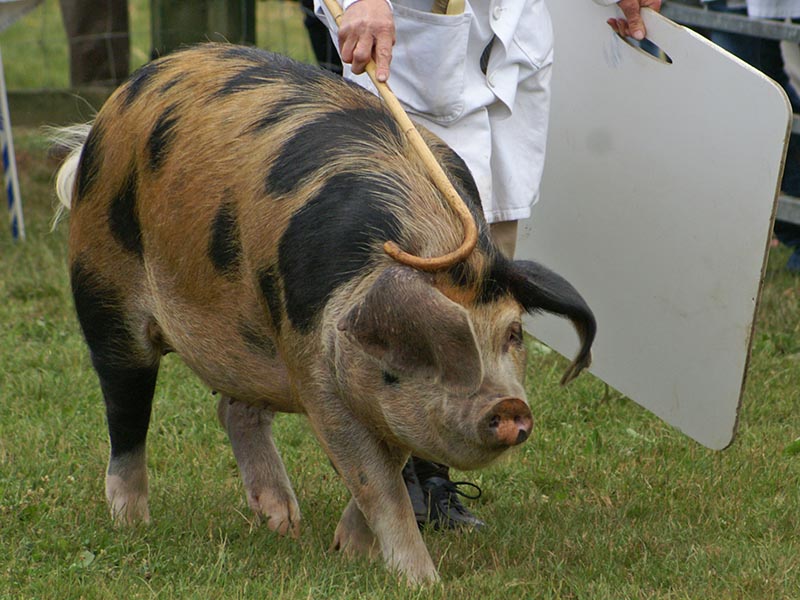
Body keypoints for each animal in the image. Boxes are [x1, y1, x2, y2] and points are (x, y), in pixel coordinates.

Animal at [54, 43, 592, 584]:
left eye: (514, 333)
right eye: (433, 344)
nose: (511, 406)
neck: (433, 245)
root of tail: (118, 102)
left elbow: (390, 459)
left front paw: (348, 551)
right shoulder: (315, 368)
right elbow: (374, 478)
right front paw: (421, 581)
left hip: (248, 334)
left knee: (232, 409)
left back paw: (282, 524)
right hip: (101, 280)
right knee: (125, 405)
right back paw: (132, 522)